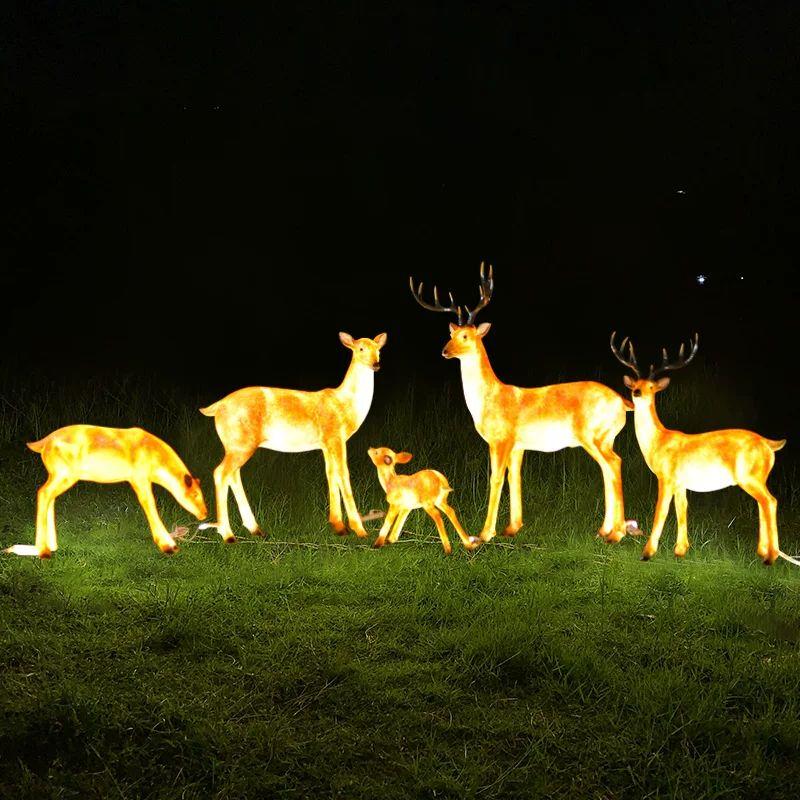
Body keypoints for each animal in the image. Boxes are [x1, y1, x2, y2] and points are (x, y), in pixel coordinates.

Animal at [3, 424, 207, 558]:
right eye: (195, 494)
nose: (204, 514)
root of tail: (41, 444)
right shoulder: (139, 478)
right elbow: (149, 503)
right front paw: (168, 546)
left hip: (59, 475)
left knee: (48, 496)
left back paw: (46, 547)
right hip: (65, 474)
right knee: (44, 493)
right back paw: (41, 550)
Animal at [199, 332, 387, 542]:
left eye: (379, 350)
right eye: (360, 348)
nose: (376, 364)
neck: (346, 403)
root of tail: (216, 407)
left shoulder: (325, 444)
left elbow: (331, 474)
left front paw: (338, 526)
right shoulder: (336, 437)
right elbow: (343, 474)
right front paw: (360, 531)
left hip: (235, 445)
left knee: (232, 474)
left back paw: (255, 529)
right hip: (240, 444)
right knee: (220, 472)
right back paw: (228, 534)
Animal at [410, 263, 640, 544]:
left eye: (466, 336)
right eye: (451, 333)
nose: (445, 350)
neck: (490, 398)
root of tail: (623, 401)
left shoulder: (500, 441)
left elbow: (496, 479)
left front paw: (484, 534)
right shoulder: (518, 447)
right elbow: (514, 479)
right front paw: (512, 527)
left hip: (594, 437)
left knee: (614, 465)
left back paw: (616, 533)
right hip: (605, 438)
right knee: (608, 470)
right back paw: (604, 530)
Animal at [610, 332, 796, 566]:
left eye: (651, 387)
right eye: (635, 383)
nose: (636, 392)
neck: (658, 441)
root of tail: (770, 443)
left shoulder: (666, 477)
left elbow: (660, 511)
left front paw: (647, 552)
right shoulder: (681, 483)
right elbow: (682, 511)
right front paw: (680, 551)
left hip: (750, 477)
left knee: (770, 501)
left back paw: (771, 556)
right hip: (755, 478)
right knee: (763, 503)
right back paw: (763, 552)